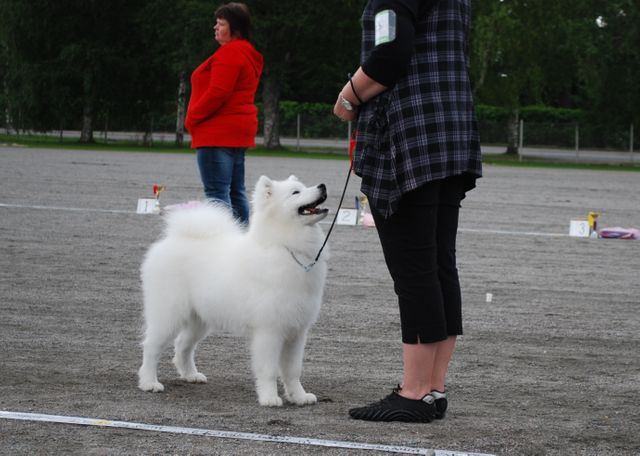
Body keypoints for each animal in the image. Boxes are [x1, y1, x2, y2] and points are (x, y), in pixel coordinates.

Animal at [137, 175, 328, 406]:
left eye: (304, 187)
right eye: (295, 193)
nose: (322, 186)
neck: (286, 247)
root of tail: (174, 239)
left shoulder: (297, 331)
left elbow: (293, 370)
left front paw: (299, 397)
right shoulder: (270, 331)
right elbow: (269, 370)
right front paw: (269, 398)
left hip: (199, 319)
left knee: (183, 345)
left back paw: (191, 375)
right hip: (168, 315)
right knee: (151, 347)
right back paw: (149, 383)